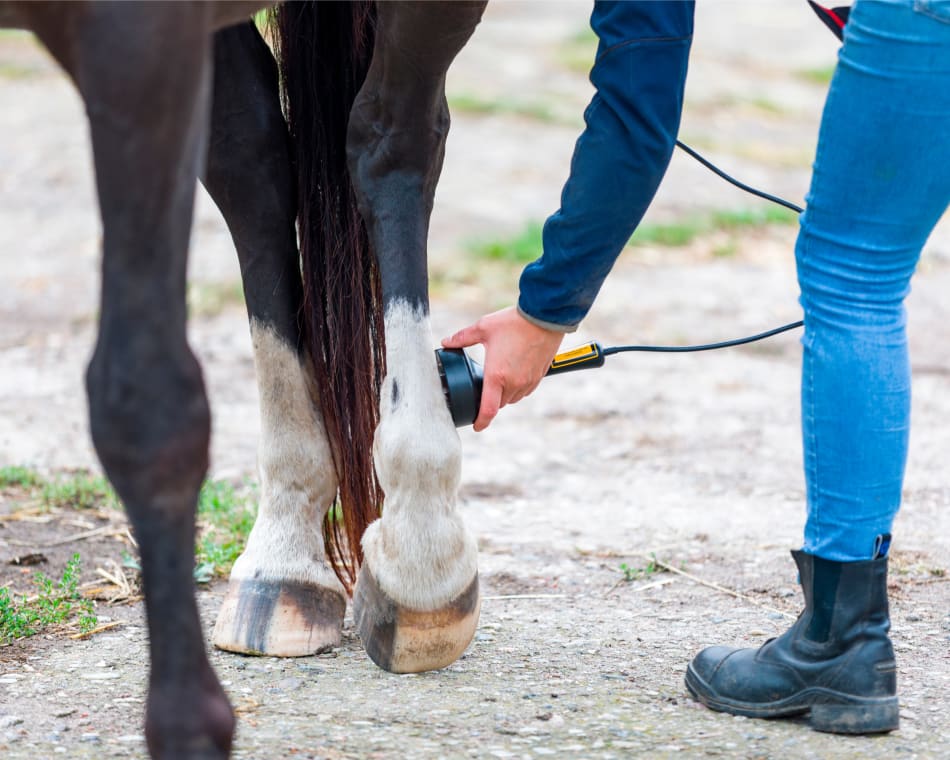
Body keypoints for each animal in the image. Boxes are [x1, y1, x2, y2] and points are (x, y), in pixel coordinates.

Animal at [0, 2, 490, 756]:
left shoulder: (136, 41)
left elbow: (146, 405)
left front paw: (187, 723)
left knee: (391, 140)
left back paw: (420, 548)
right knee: (252, 162)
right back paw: (283, 560)